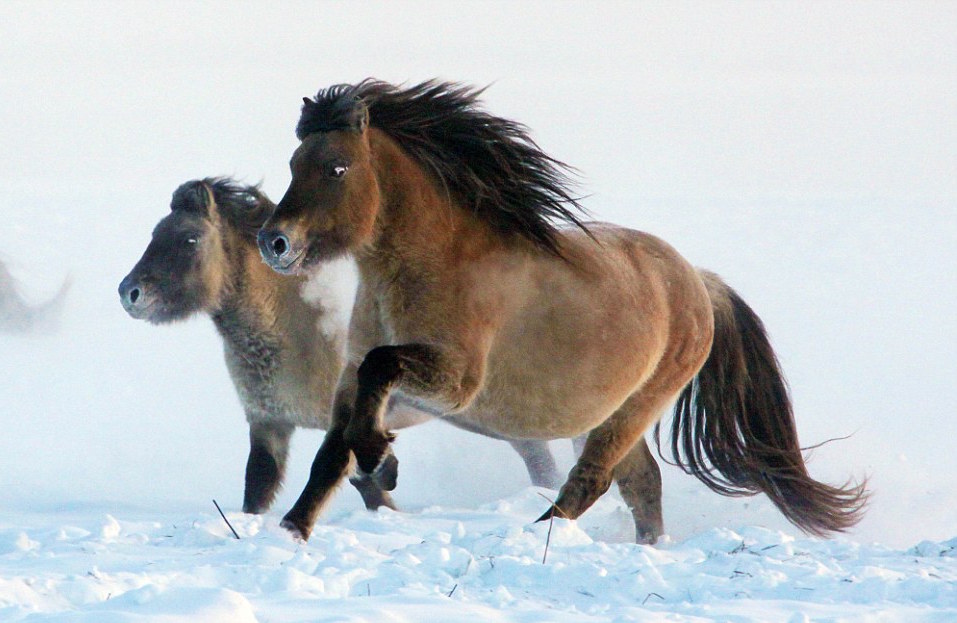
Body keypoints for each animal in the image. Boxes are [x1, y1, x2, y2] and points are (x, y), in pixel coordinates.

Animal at [118, 177, 561, 514]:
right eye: (155, 234)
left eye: (190, 239)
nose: (129, 293)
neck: (295, 325)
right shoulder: (269, 424)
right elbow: (257, 492)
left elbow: (369, 486)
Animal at [257, 80, 868, 543]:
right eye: (293, 162)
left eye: (337, 168)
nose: (274, 242)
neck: (431, 264)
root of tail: (698, 282)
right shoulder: (357, 379)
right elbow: (331, 454)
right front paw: (295, 529)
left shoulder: (456, 382)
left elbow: (378, 373)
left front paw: (379, 459)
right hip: (614, 411)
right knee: (642, 483)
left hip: (635, 407)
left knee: (593, 479)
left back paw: (537, 534)